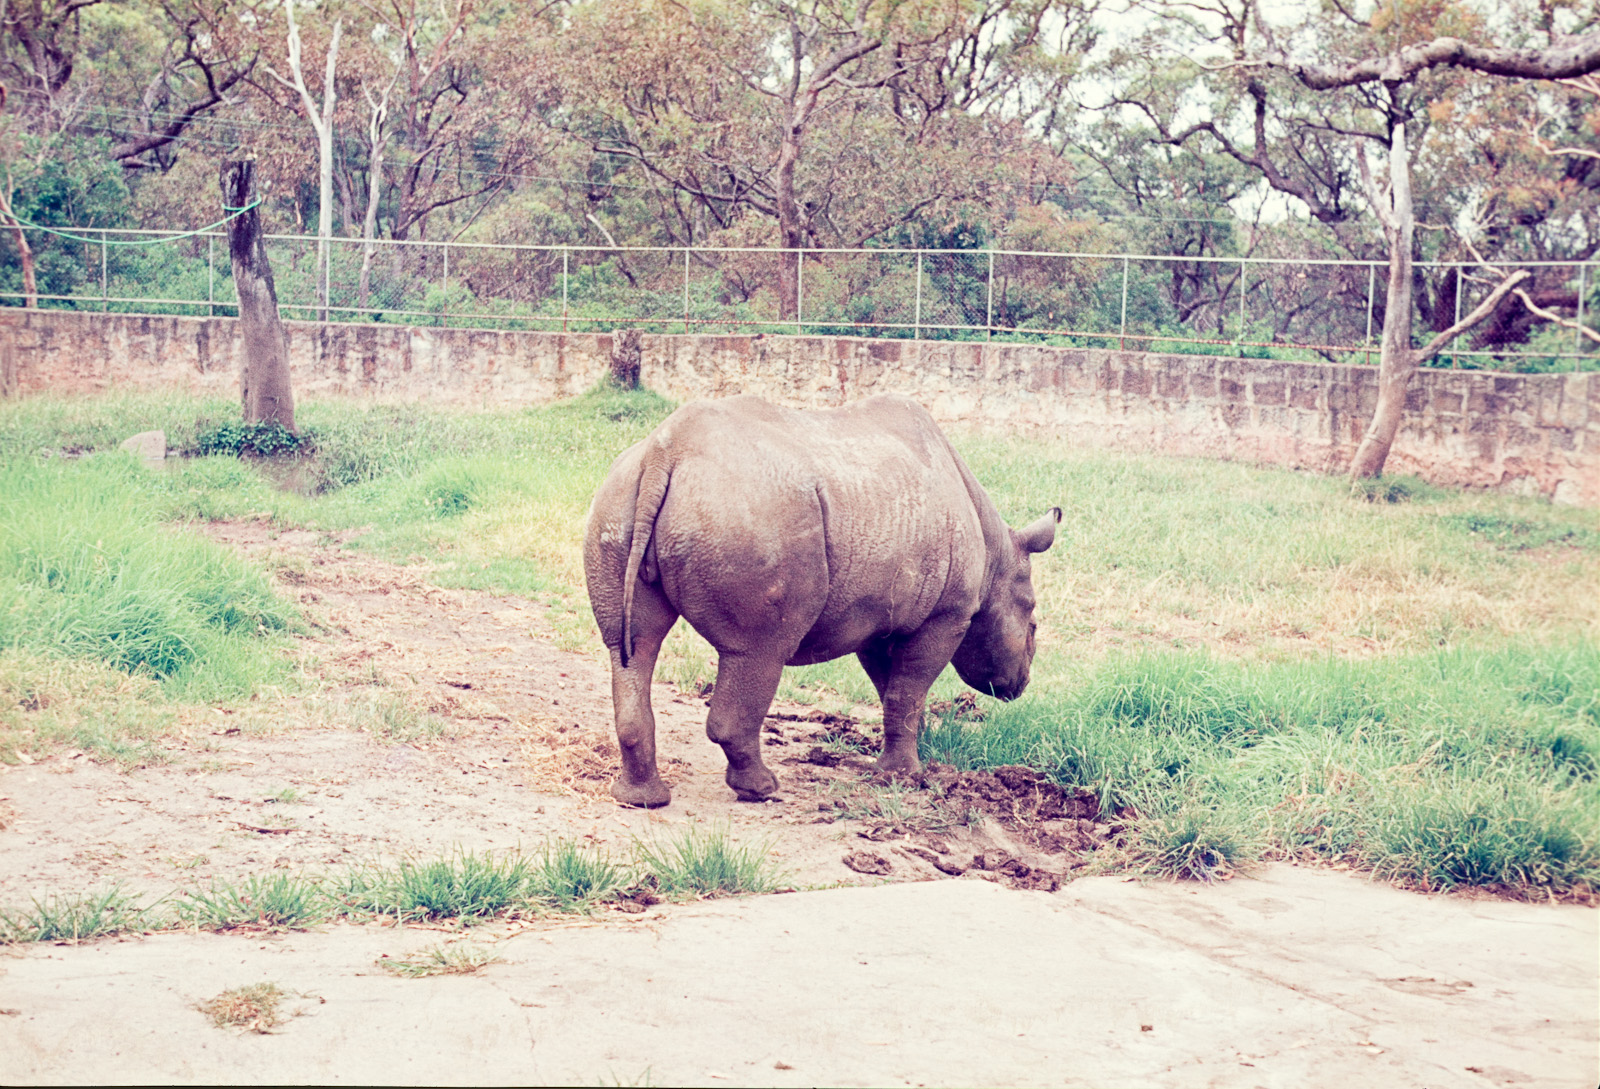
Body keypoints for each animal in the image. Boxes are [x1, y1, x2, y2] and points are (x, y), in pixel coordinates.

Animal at [583, 393, 1059, 807]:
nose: (1021, 684)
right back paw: (762, 790)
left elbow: (893, 689)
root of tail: (664, 454)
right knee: (758, 649)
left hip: (617, 500)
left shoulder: (880, 615)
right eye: (1034, 626)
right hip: (753, 513)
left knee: (633, 646)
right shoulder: (948, 614)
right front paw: (904, 776)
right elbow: (906, 688)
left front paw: (912, 748)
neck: (998, 559)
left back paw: (641, 800)